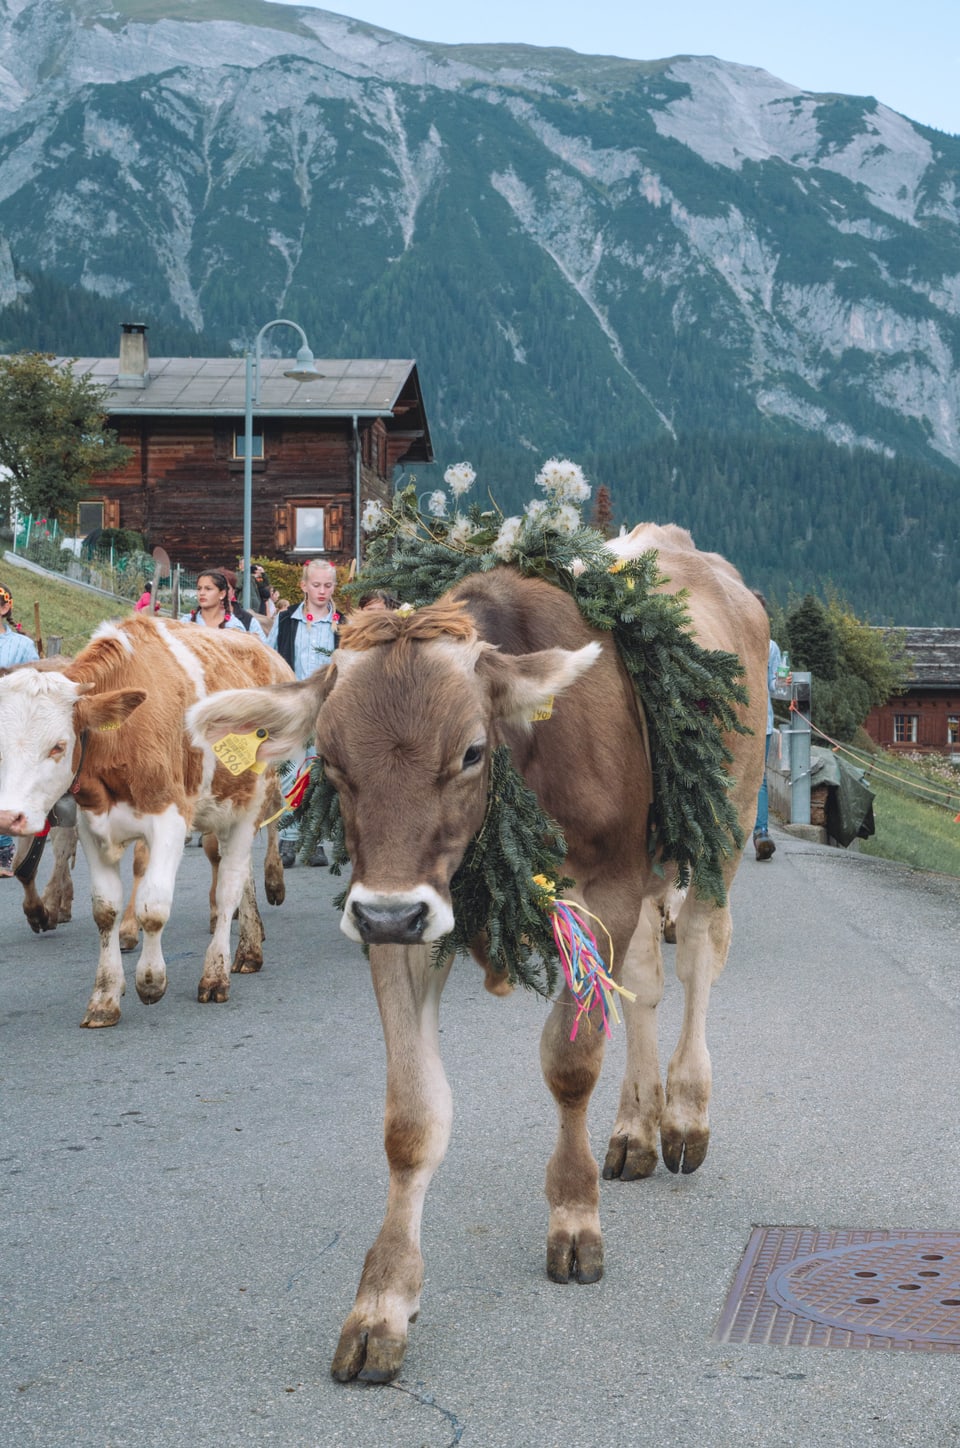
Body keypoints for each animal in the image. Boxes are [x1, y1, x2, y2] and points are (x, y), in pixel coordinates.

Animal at [0, 616, 295, 1025]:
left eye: (58, 746)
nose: (9, 817)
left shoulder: (170, 819)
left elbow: (153, 908)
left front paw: (151, 980)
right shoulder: (92, 826)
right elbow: (105, 910)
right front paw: (105, 996)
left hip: (253, 799)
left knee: (230, 886)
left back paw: (216, 973)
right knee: (240, 876)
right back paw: (249, 950)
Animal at [185, 529, 776, 1378]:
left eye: (469, 752)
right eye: (330, 758)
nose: (388, 913)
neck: (528, 761)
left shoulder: (607, 888)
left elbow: (570, 1063)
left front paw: (574, 1219)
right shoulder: (405, 917)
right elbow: (411, 1119)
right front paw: (382, 1302)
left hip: (721, 824)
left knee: (697, 959)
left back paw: (685, 1115)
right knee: (644, 984)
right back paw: (635, 1128)